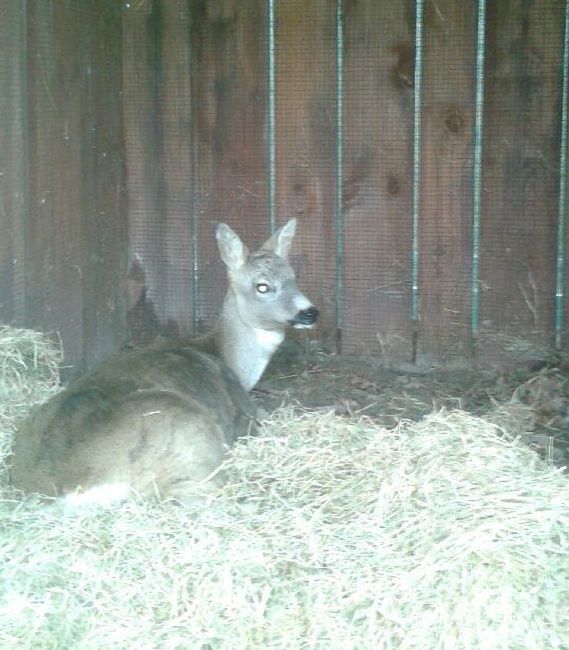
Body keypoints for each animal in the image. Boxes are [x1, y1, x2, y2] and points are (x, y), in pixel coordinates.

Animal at [8, 218, 318, 506]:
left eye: (293, 277)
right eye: (262, 286)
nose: (310, 312)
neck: (226, 357)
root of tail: (63, 487)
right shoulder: (245, 413)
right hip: (186, 430)